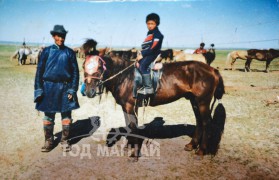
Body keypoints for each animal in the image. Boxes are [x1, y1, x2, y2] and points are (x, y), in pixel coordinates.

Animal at [82, 39, 226, 160]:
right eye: (83, 66)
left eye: (99, 67)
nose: (89, 91)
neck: (125, 77)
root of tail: (212, 70)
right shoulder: (125, 107)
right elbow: (128, 125)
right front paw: (128, 146)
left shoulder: (130, 106)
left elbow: (133, 126)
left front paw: (134, 154)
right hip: (194, 101)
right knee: (199, 121)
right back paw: (191, 145)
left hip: (203, 102)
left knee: (206, 123)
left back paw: (201, 151)